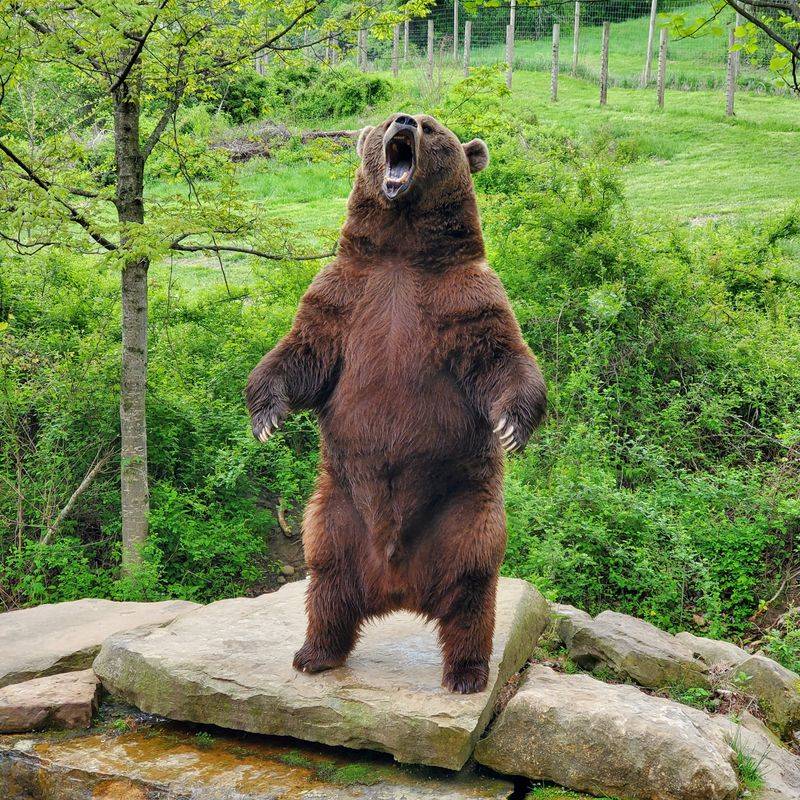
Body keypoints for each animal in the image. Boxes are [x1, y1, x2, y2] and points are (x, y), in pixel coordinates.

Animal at [246, 113, 546, 694]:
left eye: (431, 128)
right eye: (387, 121)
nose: (405, 120)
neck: (402, 254)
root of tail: (398, 587)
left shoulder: (466, 298)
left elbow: (501, 354)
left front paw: (512, 425)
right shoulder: (344, 295)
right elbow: (302, 352)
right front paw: (265, 415)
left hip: (463, 512)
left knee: (473, 586)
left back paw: (467, 672)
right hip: (337, 513)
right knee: (326, 578)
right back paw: (314, 653)